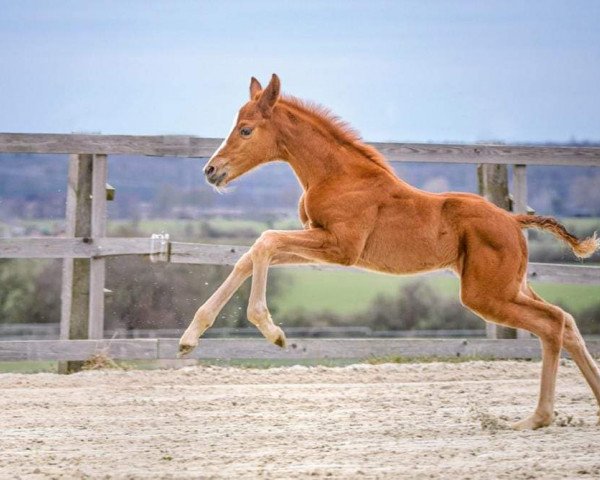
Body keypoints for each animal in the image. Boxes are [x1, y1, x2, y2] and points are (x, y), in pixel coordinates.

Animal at [182, 75, 600, 432]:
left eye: (246, 129)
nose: (211, 171)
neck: (338, 176)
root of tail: (514, 219)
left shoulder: (340, 247)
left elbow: (265, 241)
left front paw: (273, 332)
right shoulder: (320, 241)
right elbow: (251, 254)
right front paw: (190, 338)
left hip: (486, 294)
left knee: (552, 324)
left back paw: (537, 418)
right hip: (511, 286)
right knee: (566, 320)